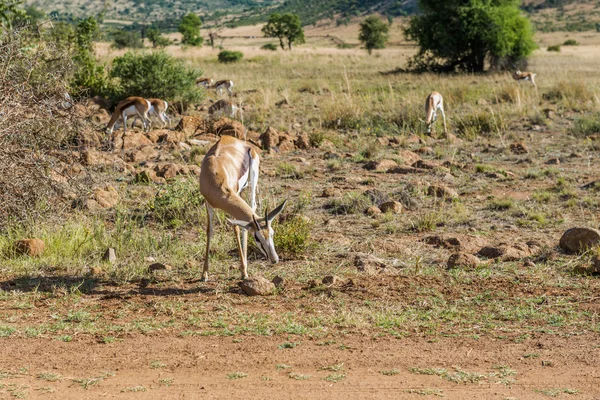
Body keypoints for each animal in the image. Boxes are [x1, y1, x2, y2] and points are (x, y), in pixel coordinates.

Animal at [199, 136, 286, 280]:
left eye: (272, 233)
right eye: (257, 238)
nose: (274, 259)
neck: (215, 173)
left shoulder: (234, 193)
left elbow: (236, 229)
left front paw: (244, 271)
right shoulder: (208, 203)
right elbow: (209, 231)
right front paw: (204, 273)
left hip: (253, 179)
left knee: (252, 206)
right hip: (242, 190)